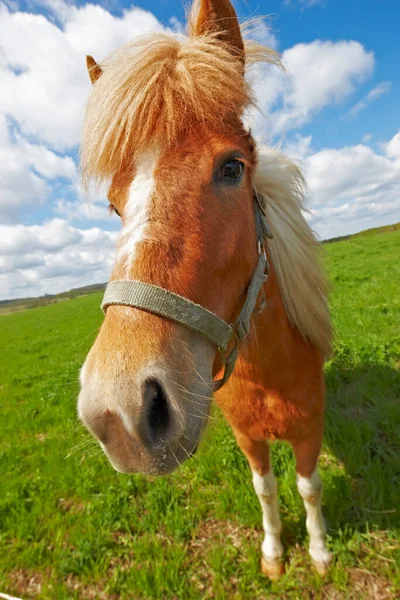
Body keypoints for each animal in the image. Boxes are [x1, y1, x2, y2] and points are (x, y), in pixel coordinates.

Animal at [77, 0, 332, 580]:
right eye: (114, 205)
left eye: (232, 167)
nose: (119, 413)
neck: (269, 373)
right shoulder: (248, 438)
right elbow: (266, 490)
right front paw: (275, 554)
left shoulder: (310, 429)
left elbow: (309, 488)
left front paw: (320, 552)